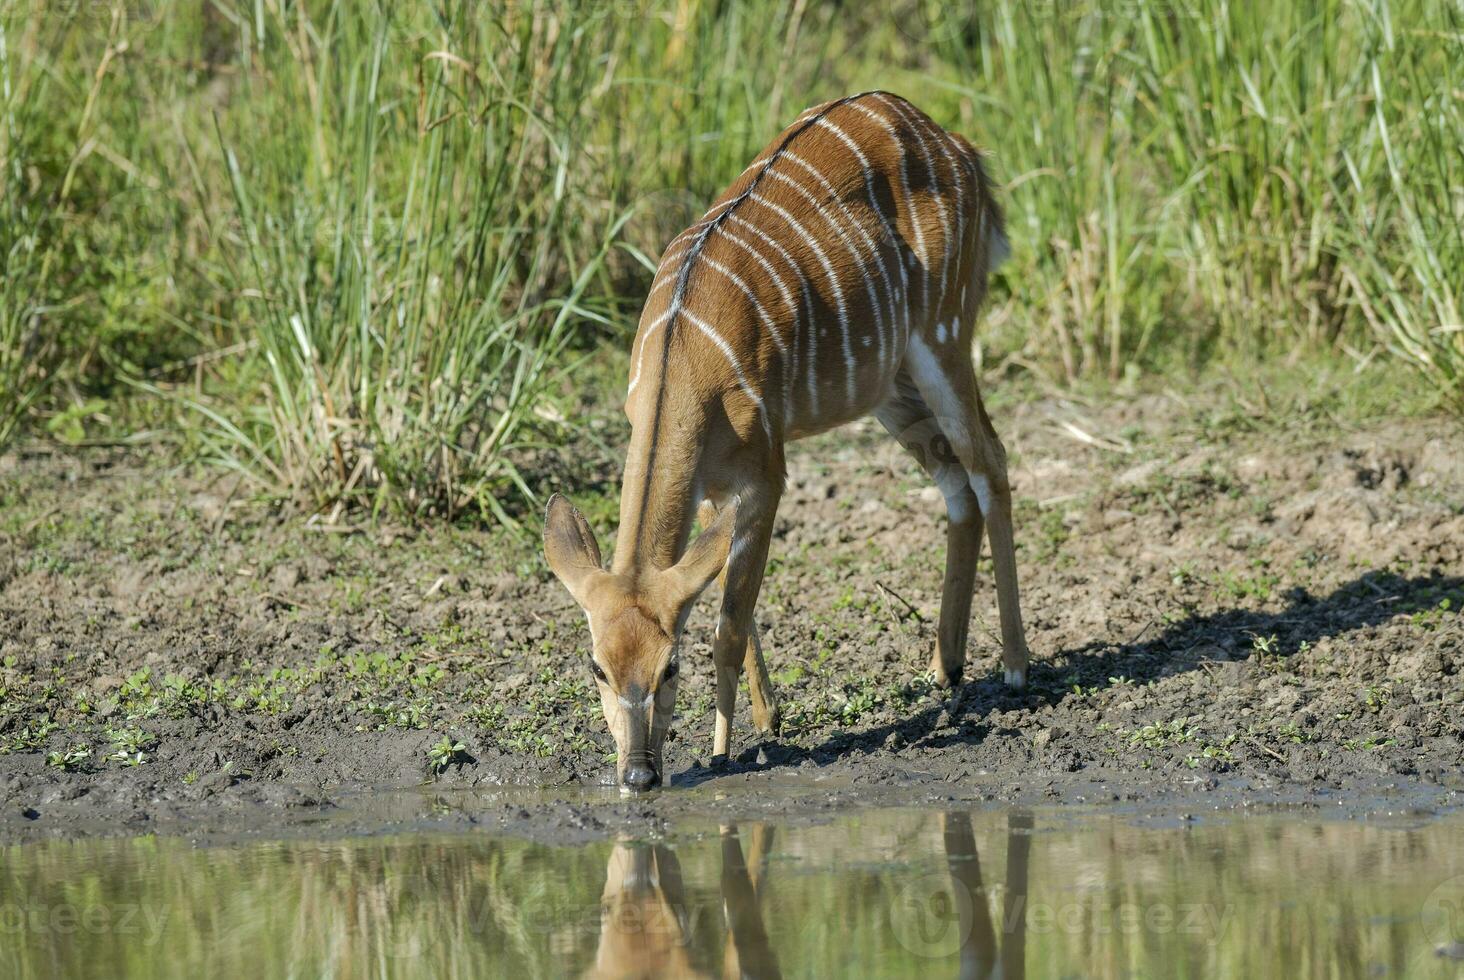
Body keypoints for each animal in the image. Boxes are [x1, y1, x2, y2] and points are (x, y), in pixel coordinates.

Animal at [547, 91, 1030, 791]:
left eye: (670, 666)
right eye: (597, 667)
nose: (639, 774)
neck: (684, 359)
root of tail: (961, 147)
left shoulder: (766, 470)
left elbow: (727, 621)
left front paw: (725, 749)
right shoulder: (713, 485)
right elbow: (730, 594)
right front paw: (767, 717)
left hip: (944, 334)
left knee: (988, 461)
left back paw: (1017, 666)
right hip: (890, 384)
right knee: (953, 479)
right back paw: (946, 667)